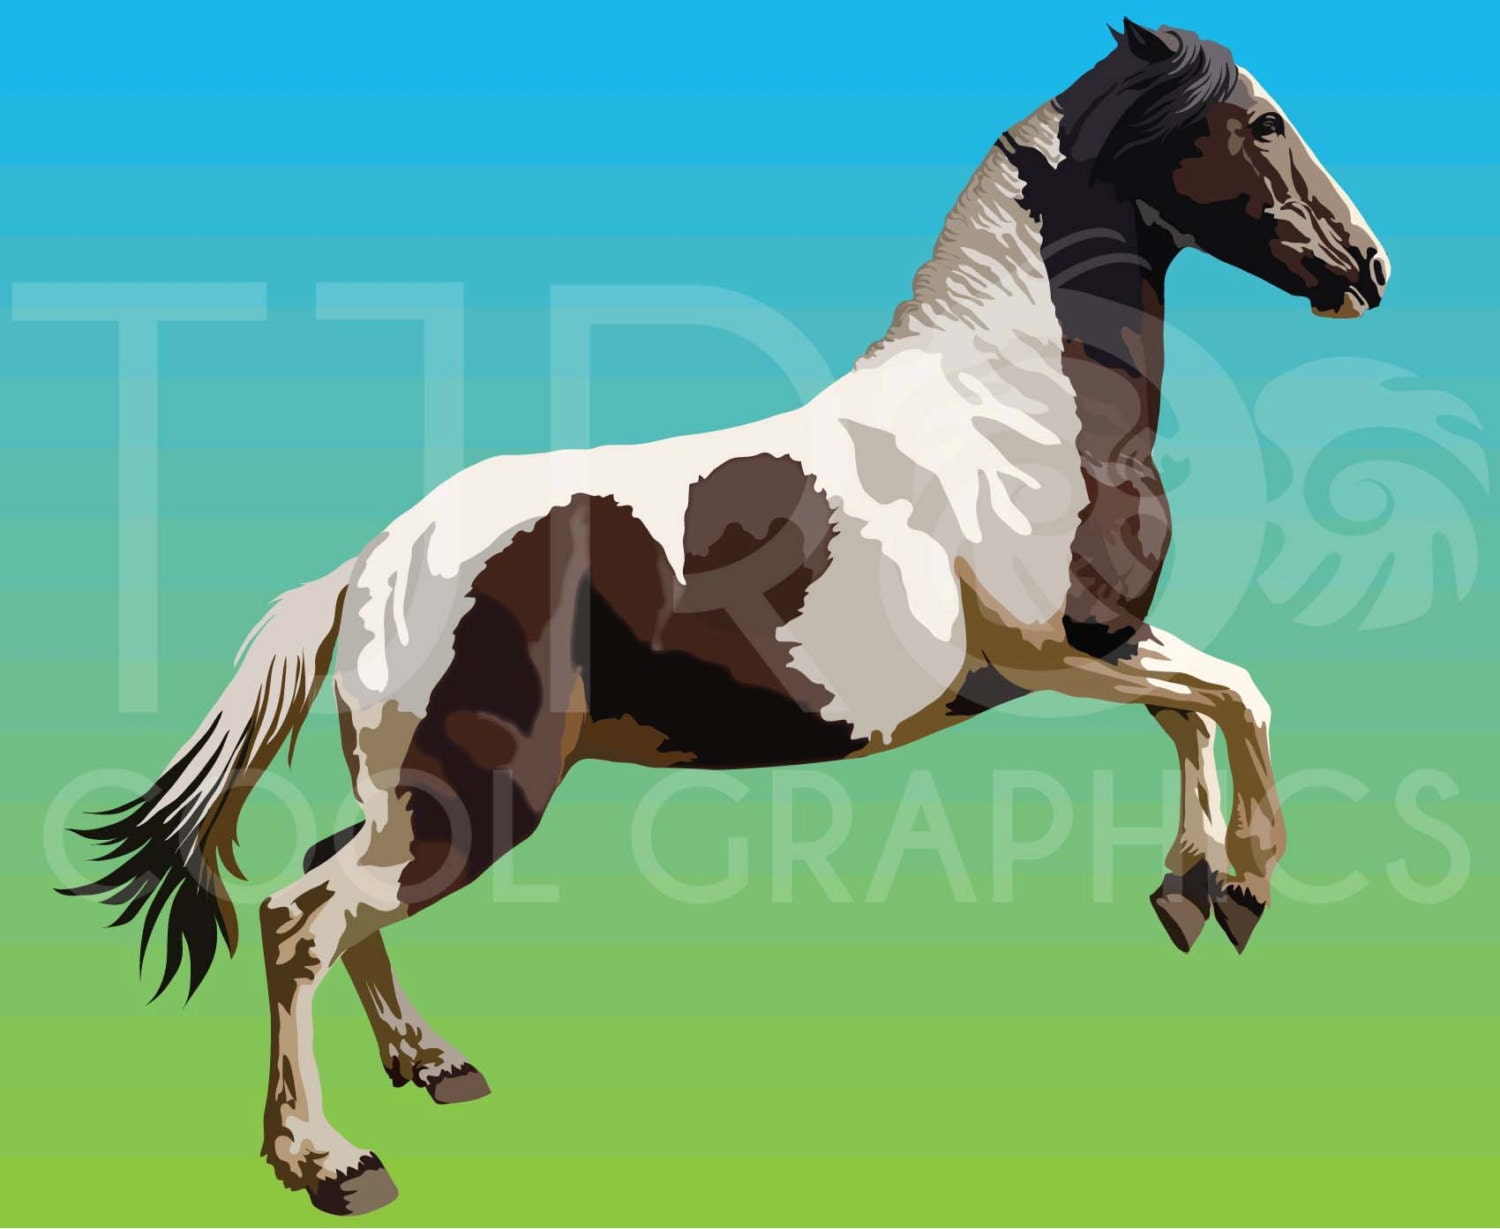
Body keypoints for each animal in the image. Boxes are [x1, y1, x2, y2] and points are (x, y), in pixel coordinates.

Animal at [64, 19, 1388, 1216]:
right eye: (1261, 121)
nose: (1368, 268)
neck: (1013, 406)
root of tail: (373, 566)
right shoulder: (1058, 649)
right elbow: (1233, 695)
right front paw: (1243, 884)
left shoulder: (1098, 647)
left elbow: (1198, 712)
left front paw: (1191, 889)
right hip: (469, 797)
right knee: (300, 920)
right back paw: (332, 1161)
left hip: (412, 793)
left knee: (327, 888)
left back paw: (432, 1063)